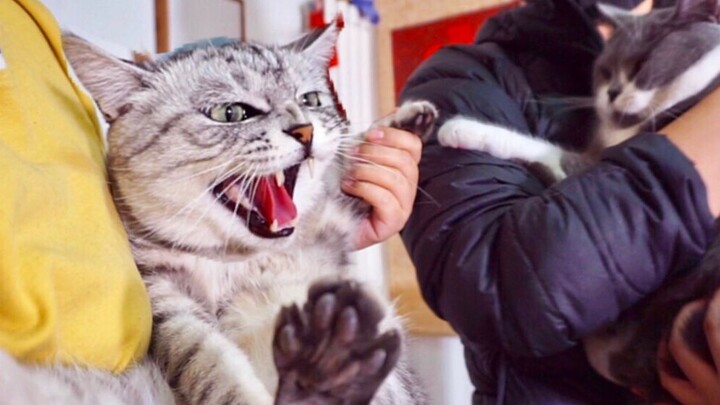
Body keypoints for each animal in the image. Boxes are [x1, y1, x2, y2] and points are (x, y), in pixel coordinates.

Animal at [0, 23, 438, 402]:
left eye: (310, 100)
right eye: (232, 113)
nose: (305, 130)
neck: (239, 259)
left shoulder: (332, 221)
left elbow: (344, 171)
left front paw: (398, 129)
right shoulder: (167, 304)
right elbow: (213, 366)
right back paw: (323, 370)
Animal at [434, 0, 720, 400]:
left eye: (641, 63)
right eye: (605, 71)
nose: (611, 92)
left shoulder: (596, 163)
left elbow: (546, 151)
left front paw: (462, 128)